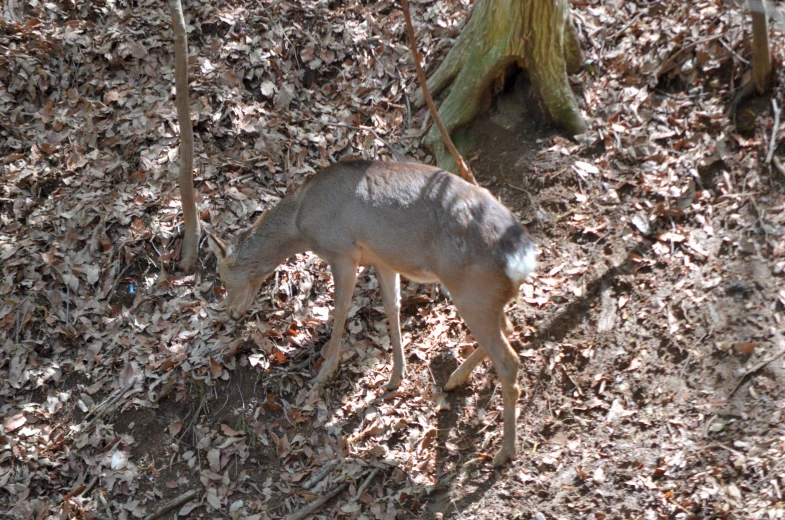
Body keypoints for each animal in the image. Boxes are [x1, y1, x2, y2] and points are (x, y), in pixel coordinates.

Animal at [205, 160, 536, 466]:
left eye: (221, 276)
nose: (231, 313)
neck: (301, 221)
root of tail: (522, 258)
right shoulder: (382, 258)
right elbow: (392, 306)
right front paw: (396, 376)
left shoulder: (343, 252)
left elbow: (339, 310)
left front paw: (325, 371)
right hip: (486, 296)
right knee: (508, 329)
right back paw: (456, 378)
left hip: (472, 290)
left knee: (508, 359)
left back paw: (504, 451)